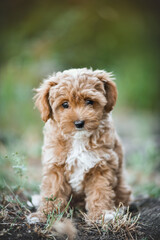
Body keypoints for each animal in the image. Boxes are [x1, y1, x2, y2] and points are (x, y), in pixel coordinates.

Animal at [27, 68, 131, 226]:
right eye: (65, 104)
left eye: (89, 101)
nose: (79, 123)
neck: (78, 140)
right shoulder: (55, 166)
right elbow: (52, 191)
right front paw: (43, 215)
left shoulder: (101, 166)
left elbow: (100, 192)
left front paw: (101, 215)